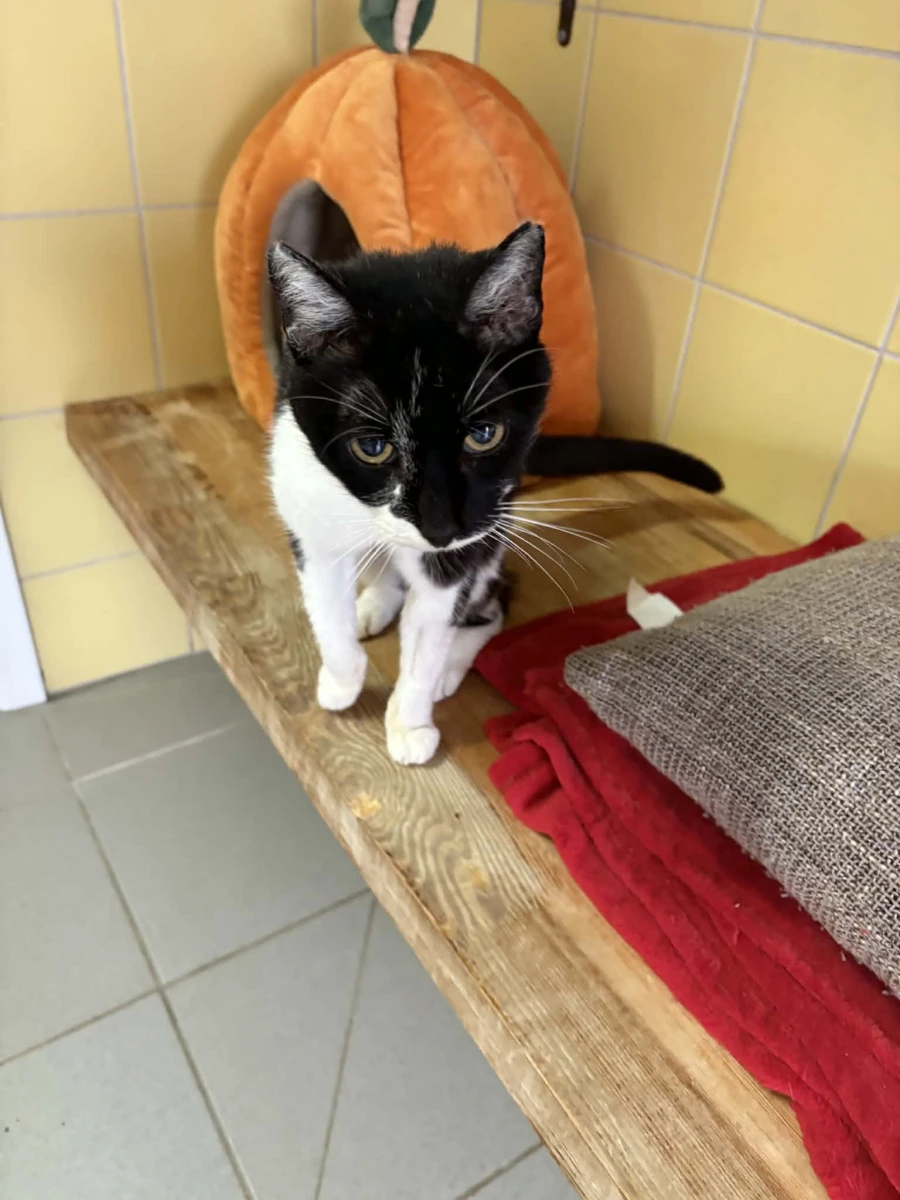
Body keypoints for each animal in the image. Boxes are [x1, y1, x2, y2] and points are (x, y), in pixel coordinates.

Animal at [267, 222, 721, 765]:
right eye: (372, 447)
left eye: (484, 435)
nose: (440, 527)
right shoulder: (306, 512)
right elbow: (327, 613)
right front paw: (341, 680)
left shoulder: (463, 548)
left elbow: (429, 633)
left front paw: (410, 720)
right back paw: (375, 600)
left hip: (492, 531)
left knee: (494, 601)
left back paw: (448, 662)